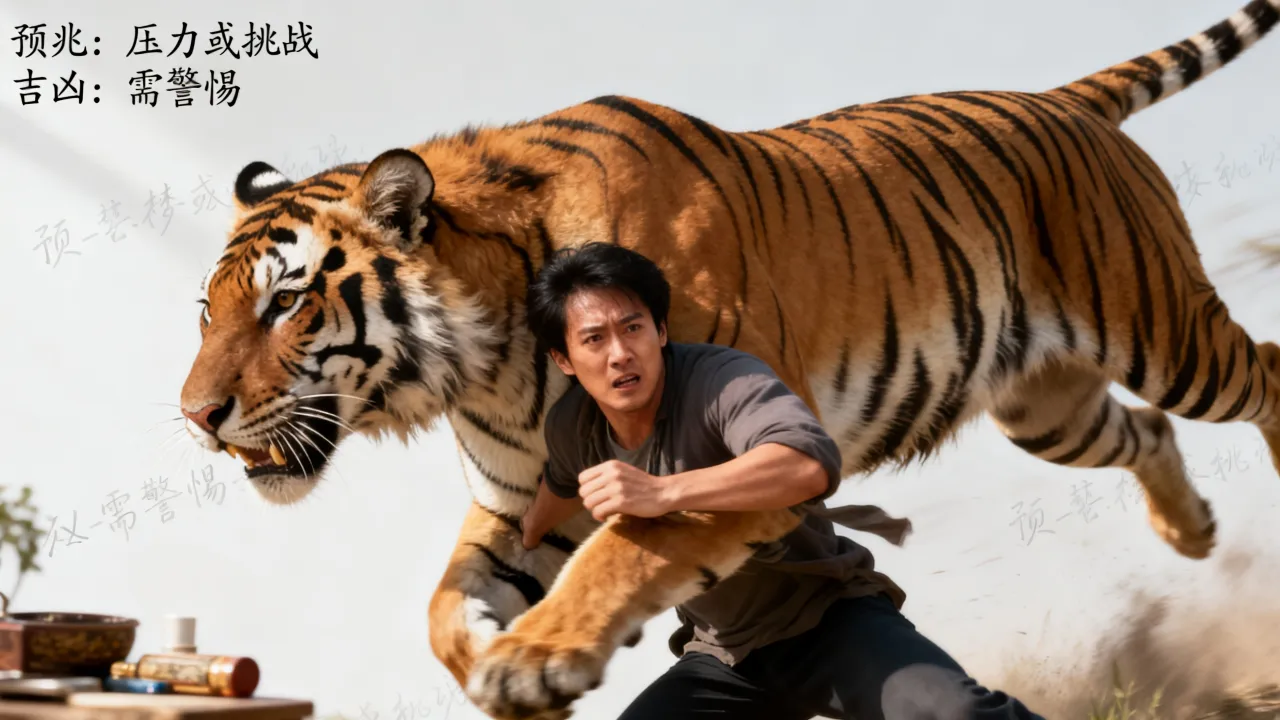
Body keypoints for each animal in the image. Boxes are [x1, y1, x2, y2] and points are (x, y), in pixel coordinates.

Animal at [178, 1, 1280, 717]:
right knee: (1142, 428)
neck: (486, 352)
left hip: (1165, 335)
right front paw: (496, 663)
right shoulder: (524, 497)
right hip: (1045, 404)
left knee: (1265, 364)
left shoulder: (742, 458)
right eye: (206, 310)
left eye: (285, 303)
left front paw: (534, 658)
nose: (194, 417)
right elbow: (443, 602)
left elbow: (628, 547)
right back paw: (1190, 533)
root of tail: (1064, 98)